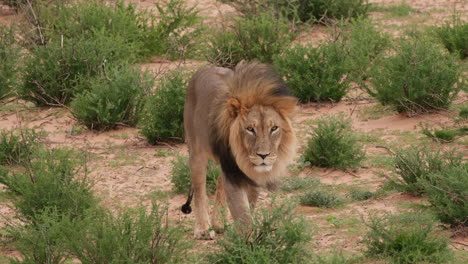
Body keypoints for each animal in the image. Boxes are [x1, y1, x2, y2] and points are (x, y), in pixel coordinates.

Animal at [182, 61, 296, 239]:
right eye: (250, 129)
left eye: (274, 128)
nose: (264, 155)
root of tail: (201, 71)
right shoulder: (232, 173)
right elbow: (242, 212)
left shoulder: (250, 175)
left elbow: (249, 206)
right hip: (196, 152)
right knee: (200, 190)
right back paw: (203, 229)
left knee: (219, 183)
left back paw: (219, 223)